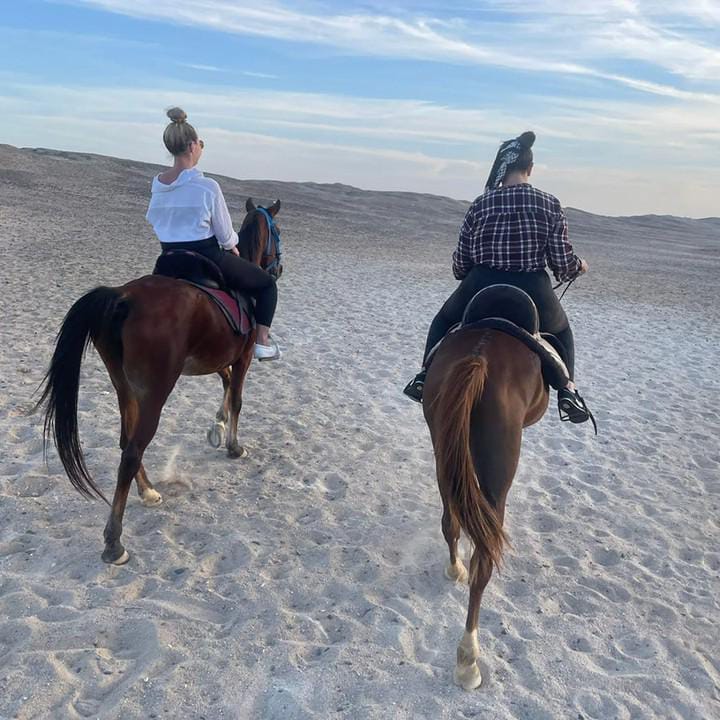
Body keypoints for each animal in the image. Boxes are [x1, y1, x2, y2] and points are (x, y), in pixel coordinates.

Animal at [37, 198, 282, 568]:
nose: (278, 269)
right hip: (155, 391)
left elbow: (225, 385)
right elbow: (238, 397)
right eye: (278, 232)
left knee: (126, 440)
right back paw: (114, 541)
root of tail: (122, 297)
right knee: (132, 450)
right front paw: (233, 446)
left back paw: (149, 491)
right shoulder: (243, 357)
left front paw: (217, 425)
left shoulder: (214, 359)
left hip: (125, 386)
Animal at [424, 324, 548, 688]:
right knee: (484, 559)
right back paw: (468, 658)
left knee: (451, 522)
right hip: (497, 473)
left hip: (444, 453)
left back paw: (455, 569)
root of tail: (479, 356)